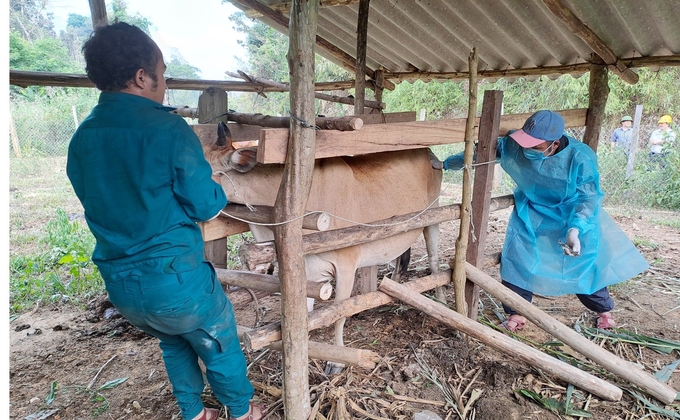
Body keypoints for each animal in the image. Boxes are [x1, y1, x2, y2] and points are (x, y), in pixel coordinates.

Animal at [205, 136, 444, 372]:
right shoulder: (309, 273)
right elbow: (307, 317)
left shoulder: (346, 265)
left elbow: (339, 314)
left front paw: (336, 361)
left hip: (434, 216)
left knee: (434, 262)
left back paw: (440, 303)